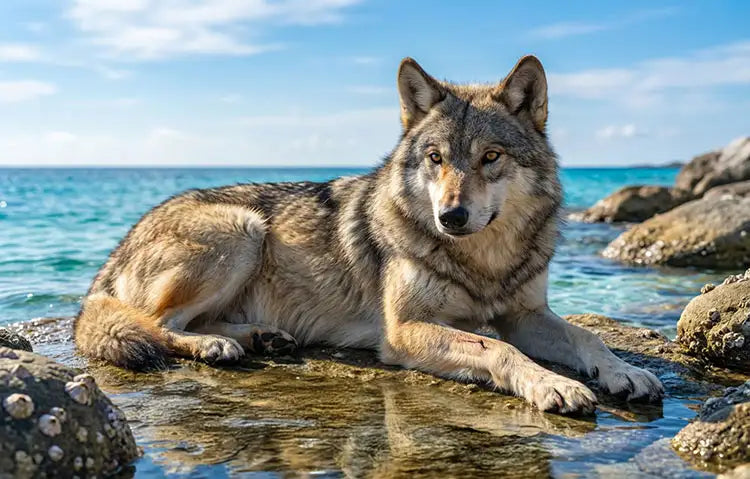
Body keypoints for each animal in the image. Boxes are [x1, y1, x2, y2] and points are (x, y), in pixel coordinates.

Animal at [75, 55, 664, 414]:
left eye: (490, 157)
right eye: (436, 158)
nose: (450, 217)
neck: (482, 259)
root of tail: (113, 256)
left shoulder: (524, 314)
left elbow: (588, 337)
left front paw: (623, 372)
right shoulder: (405, 330)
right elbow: (497, 348)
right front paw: (554, 383)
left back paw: (259, 336)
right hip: (243, 229)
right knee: (157, 324)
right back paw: (216, 345)